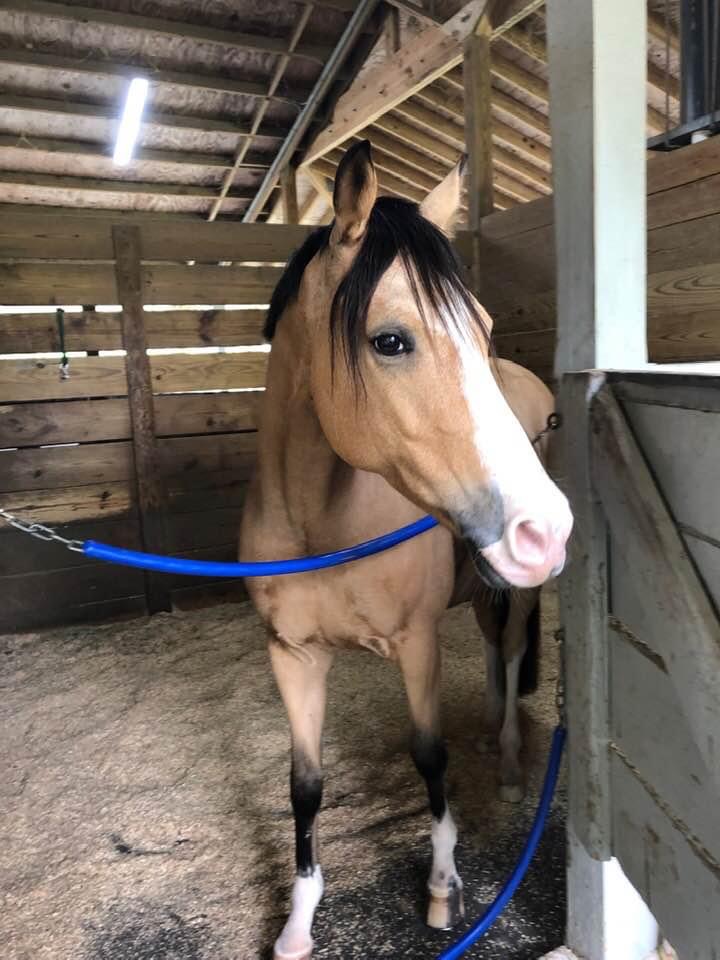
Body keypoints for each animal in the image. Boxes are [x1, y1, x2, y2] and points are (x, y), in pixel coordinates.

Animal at [240, 140, 573, 960]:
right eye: (390, 340)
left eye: (482, 330)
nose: (546, 530)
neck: (319, 528)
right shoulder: (292, 656)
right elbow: (304, 783)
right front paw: (297, 918)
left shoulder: (417, 643)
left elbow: (429, 755)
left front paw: (443, 886)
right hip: (488, 579)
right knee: (492, 647)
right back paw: (491, 731)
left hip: (515, 585)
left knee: (510, 646)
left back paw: (510, 760)